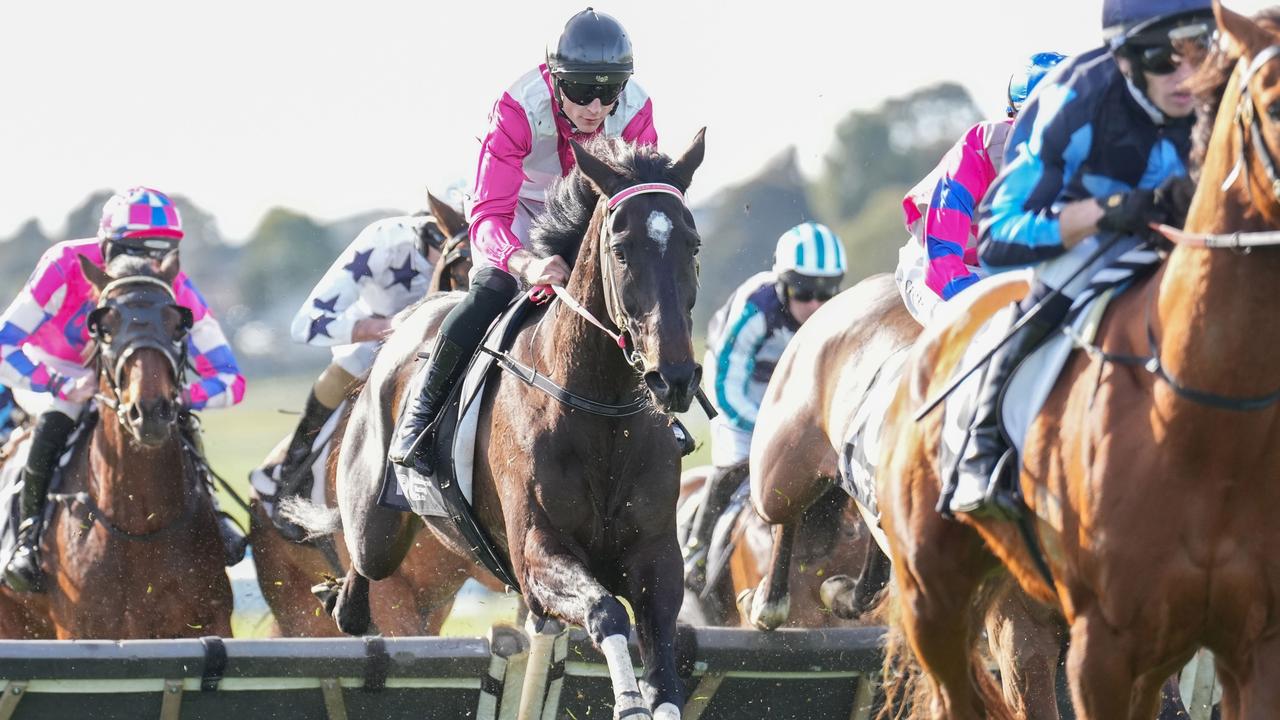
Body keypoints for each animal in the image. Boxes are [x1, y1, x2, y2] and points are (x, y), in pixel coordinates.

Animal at [0, 254, 230, 635]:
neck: (140, 526)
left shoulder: (209, 620)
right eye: (104, 328)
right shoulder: (81, 628)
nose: (149, 410)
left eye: (178, 326)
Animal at [302, 131, 711, 712]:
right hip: (374, 525)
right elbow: (605, 611)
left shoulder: (656, 558)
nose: (672, 376)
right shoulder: (537, 554)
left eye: (691, 245)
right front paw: (628, 703)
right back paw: (338, 592)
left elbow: (665, 670)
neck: (601, 412)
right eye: (620, 249)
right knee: (359, 584)